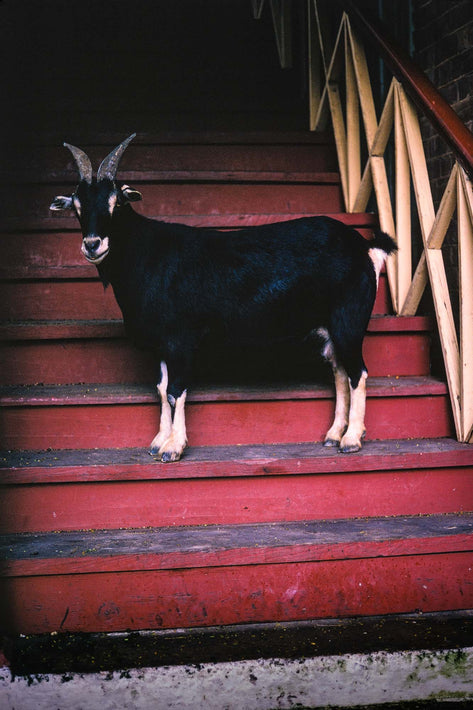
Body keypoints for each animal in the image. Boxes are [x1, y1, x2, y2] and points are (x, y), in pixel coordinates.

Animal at [50, 136, 394, 464]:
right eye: (77, 205)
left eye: (117, 202)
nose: (92, 244)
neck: (147, 255)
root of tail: (365, 248)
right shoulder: (162, 343)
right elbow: (161, 389)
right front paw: (159, 441)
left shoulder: (180, 338)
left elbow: (175, 390)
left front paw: (173, 447)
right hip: (330, 330)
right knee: (339, 373)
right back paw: (334, 434)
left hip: (349, 320)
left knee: (358, 373)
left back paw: (351, 439)